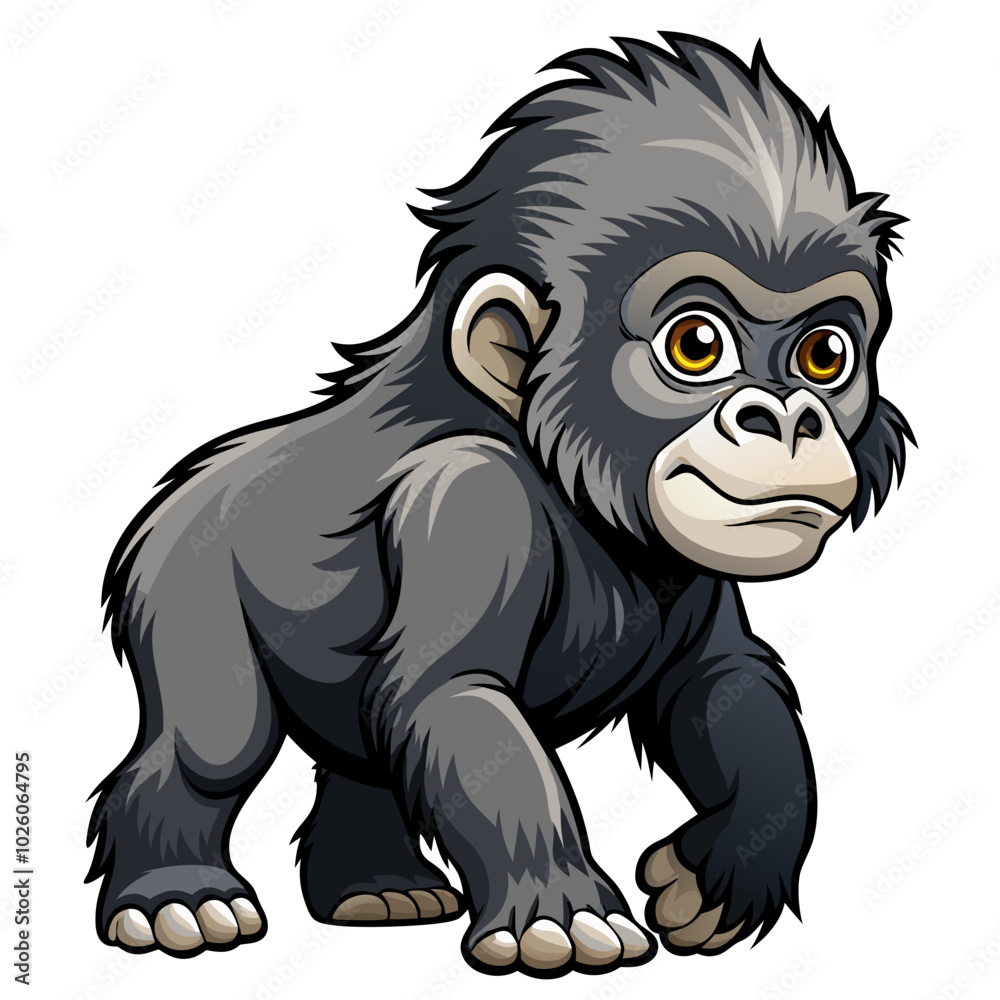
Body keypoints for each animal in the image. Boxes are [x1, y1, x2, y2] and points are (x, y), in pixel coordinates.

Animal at [86, 32, 912, 977]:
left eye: (825, 355)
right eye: (697, 344)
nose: (786, 416)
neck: (574, 492)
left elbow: (722, 689)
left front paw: (725, 869)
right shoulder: (470, 502)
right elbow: (461, 696)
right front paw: (561, 911)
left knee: (363, 751)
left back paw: (376, 890)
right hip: (176, 574)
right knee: (212, 744)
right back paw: (177, 897)